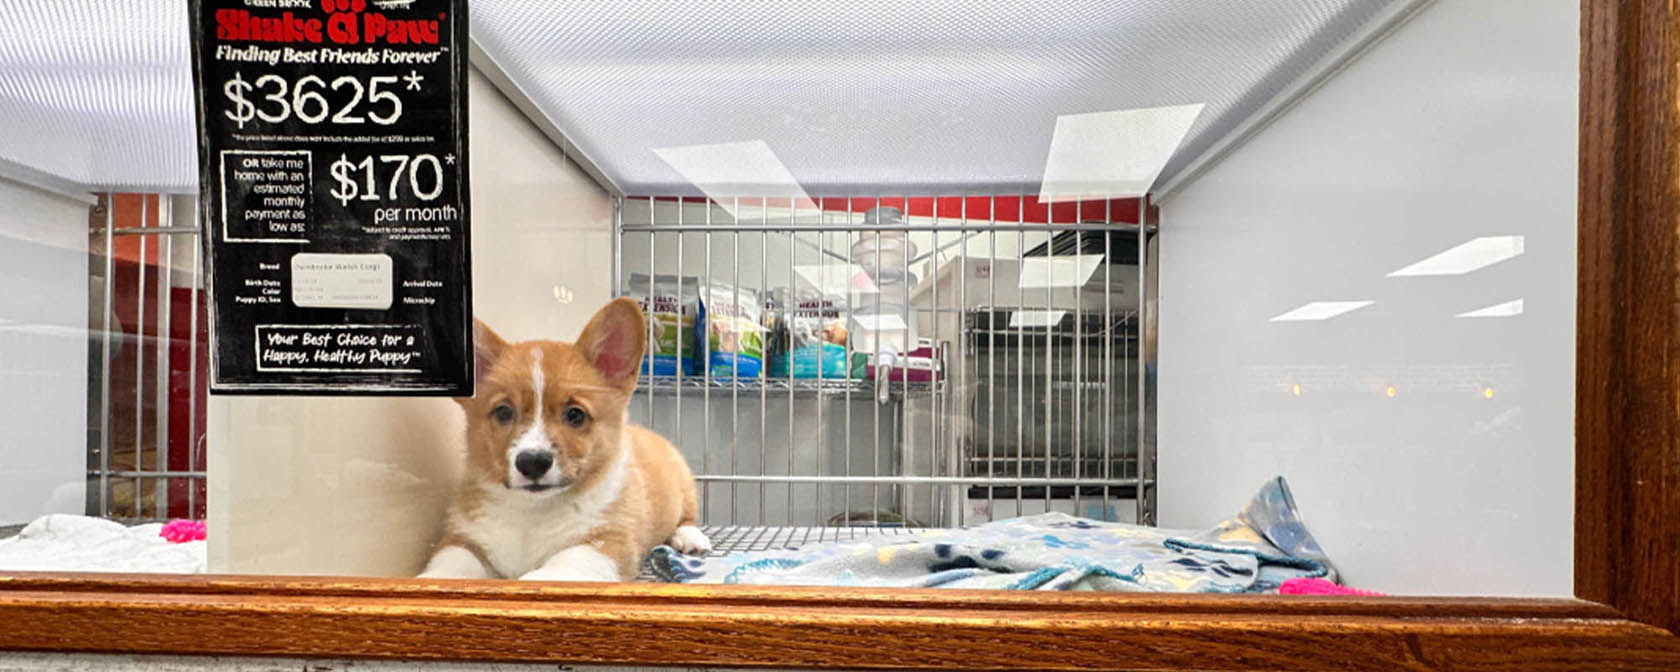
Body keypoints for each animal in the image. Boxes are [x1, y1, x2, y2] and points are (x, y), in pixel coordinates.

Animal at [423, 297, 712, 581]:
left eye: (575, 414)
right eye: (503, 412)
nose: (533, 463)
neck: (532, 512)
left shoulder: (606, 543)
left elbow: (555, 569)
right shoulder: (462, 538)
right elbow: (450, 564)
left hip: (685, 485)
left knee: (688, 516)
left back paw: (690, 538)